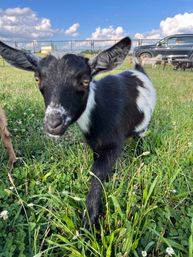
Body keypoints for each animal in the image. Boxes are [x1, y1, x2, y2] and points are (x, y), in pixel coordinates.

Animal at [0, 37, 156, 225]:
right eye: (37, 79)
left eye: (85, 81)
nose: (53, 123)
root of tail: (139, 72)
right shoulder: (96, 144)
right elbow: (97, 166)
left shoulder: (114, 145)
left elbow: (97, 172)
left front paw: (90, 218)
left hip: (143, 125)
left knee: (141, 137)